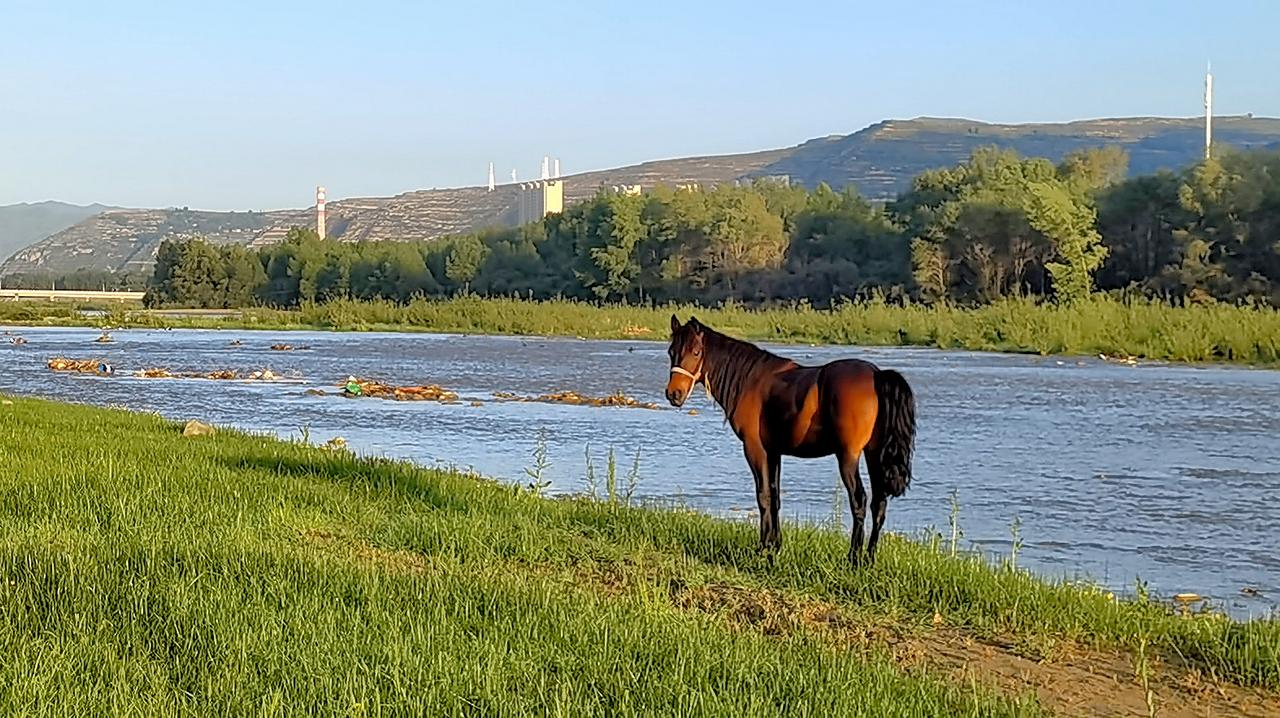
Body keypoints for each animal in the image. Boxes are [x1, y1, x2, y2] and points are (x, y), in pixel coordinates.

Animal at [664, 315, 917, 566]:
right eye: (671, 351)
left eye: (696, 352)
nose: (673, 394)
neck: (750, 380)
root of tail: (876, 374)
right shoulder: (774, 452)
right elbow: (775, 497)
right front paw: (775, 546)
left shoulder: (755, 450)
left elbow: (763, 496)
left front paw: (763, 550)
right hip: (873, 454)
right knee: (879, 503)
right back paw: (869, 558)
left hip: (848, 456)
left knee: (859, 501)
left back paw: (853, 558)